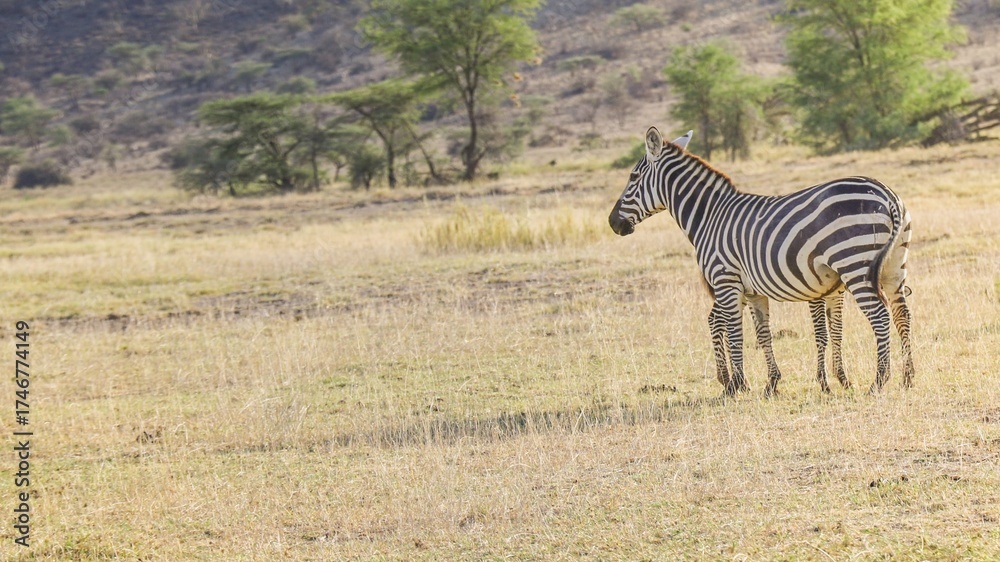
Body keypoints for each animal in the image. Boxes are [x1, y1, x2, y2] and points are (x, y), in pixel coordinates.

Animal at [608, 127, 914, 396]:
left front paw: (736, 386)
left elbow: (735, 334)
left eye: (633, 176)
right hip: (894, 267)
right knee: (902, 314)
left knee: (880, 317)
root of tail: (886, 194)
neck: (709, 216)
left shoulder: (725, 281)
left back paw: (879, 381)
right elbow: (763, 334)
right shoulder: (754, 291)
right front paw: (771, 384)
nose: (612, 223)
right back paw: (908, 378)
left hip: (855, 265)